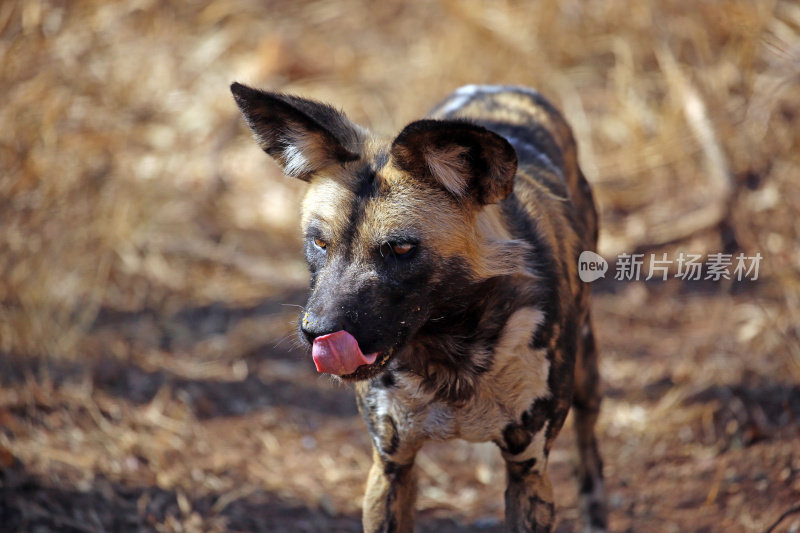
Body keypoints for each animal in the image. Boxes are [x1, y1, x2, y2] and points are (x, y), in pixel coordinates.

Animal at [231, 81, 608, 528]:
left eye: (400, 248)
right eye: (320, 242)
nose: (317, 332)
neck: (451, 351)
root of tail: (504, 87)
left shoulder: (528, 471)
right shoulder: (392, 465)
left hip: (586, 375)